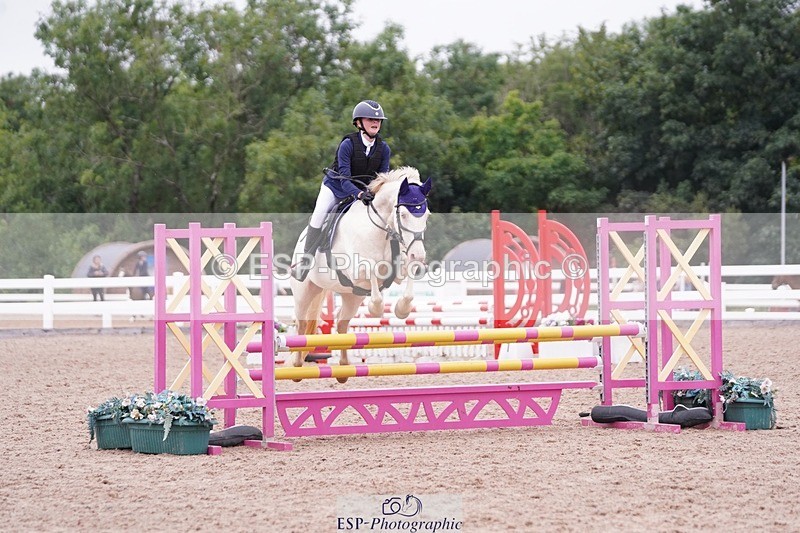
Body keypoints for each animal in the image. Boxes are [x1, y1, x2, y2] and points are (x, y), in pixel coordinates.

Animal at [289, 166, 432, 381]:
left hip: (351, 296)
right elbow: (372, 271)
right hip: (304, 291)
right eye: (404, 214)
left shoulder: (400, 269)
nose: (419, 254)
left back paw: (343, 368)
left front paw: (402, 309)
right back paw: (297, 366)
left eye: (426, 215)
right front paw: (376, 308)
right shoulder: (357, 270)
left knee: (341, 324)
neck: (382, 230)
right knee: (301, 323)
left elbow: (408, 281)